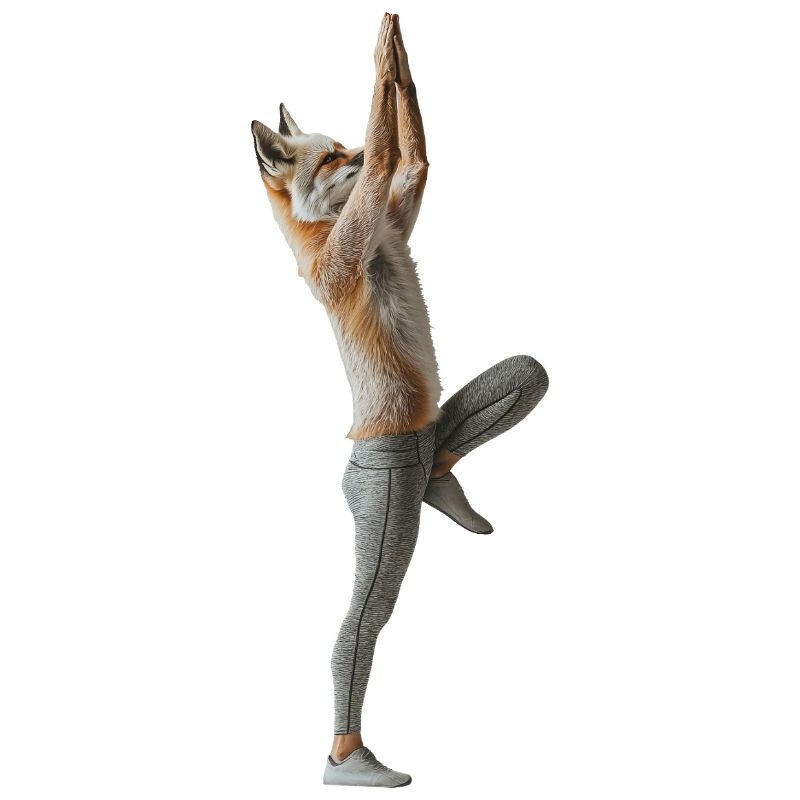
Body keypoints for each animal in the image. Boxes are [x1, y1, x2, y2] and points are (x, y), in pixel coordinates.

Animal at [250, 13, 442, 441]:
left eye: (339, 146)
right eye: (329, 159)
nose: (362, 148)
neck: (327, 224)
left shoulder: (392, 226)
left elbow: (414, 163)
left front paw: (400, 61)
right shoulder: (345, 255)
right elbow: (386, 159)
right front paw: (382, 63)